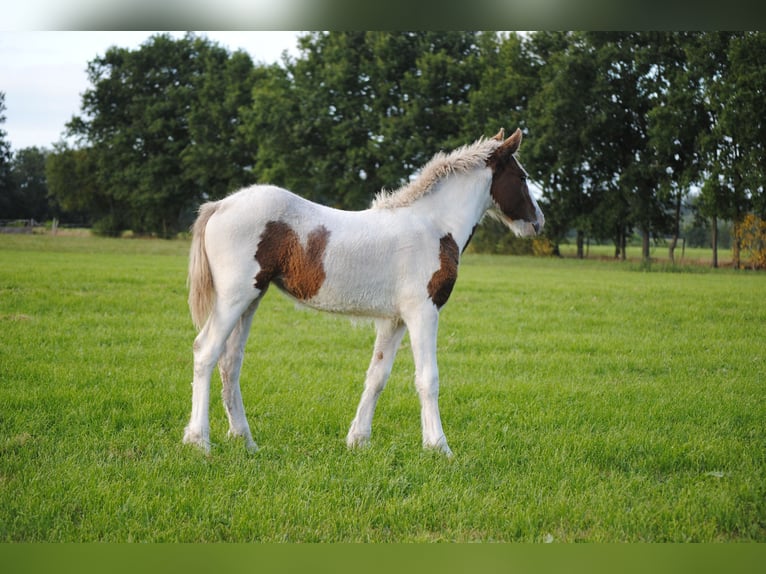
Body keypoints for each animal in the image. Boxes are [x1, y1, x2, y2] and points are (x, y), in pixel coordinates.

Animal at [183, 127, 544, 456]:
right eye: (522, 177)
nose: (538, 222)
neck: (433, 226)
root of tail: (219, 206)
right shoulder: (423, 312)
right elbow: (428, 378)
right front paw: (439, 447)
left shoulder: (394, 321)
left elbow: (377, 376)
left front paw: (358, 440)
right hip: (234, 298)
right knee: (206, 352)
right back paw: (199, 441)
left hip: (251, 300)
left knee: (230, 361)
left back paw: (245, 441)